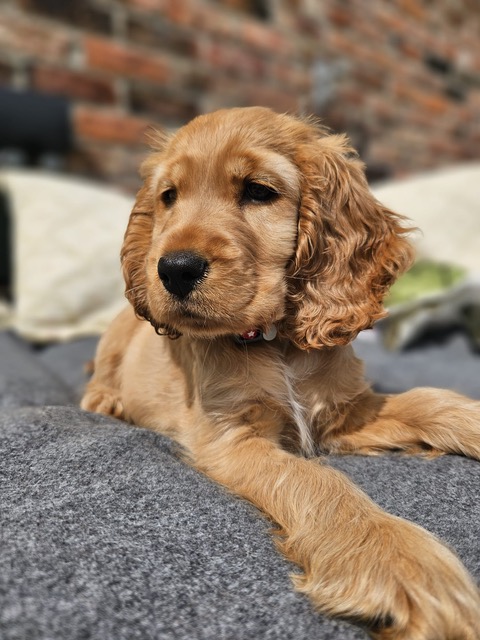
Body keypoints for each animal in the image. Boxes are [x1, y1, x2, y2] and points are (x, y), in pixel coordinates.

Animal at [81, 107, 480, 639]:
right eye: (169, 197)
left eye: (258, 191)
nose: (173, 269)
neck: (276, 342)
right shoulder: (232, 437)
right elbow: (316, 480)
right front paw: (393, 557)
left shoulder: (344, 414)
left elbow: (429, 399)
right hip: (117, 333)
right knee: (100, 373)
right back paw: (106, 399)